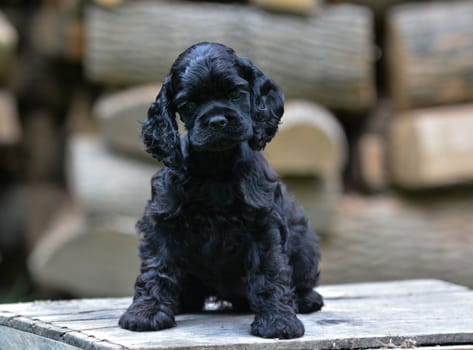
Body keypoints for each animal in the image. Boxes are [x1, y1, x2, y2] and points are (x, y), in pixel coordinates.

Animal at [120, 41, 322, 340]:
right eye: (189, 104)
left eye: (236, 94)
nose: (217, 121)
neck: (216, 167)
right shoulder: (162, 221)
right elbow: (156, 268)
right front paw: (146, 312)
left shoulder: (263, 224)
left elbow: (270, 271)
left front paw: (278, 321)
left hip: (305, 242)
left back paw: (306, 299)